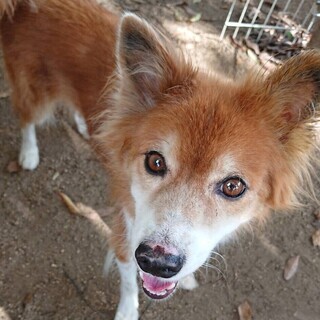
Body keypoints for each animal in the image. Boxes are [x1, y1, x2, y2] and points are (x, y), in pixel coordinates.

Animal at [1, 0, 318, 320]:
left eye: (233, 186)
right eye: (155, 162)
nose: (156, 262)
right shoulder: (124, 229)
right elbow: (129, 280)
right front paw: (127, 311)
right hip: (34, 94)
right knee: (26, 119)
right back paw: (29, 153)